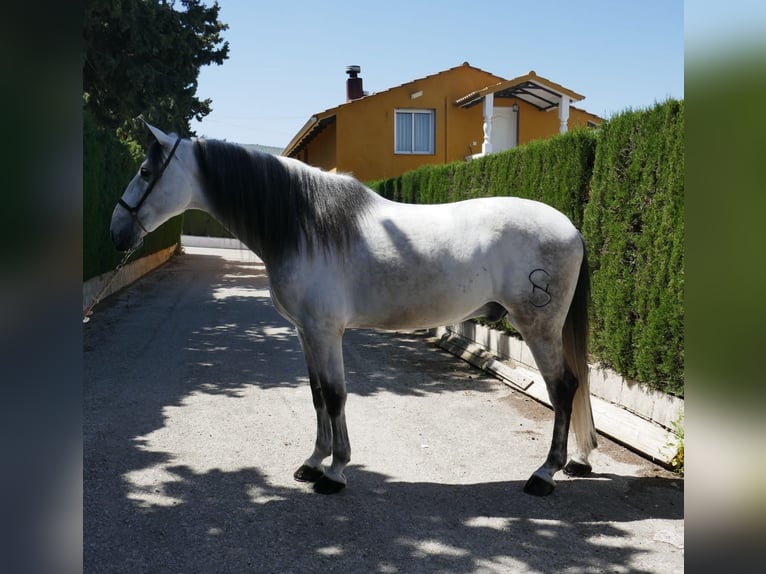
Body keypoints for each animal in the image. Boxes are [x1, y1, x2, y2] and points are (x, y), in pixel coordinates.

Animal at [111, 124, 600, 498]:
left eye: (145, 171)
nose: (116, 232)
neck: (306, 227)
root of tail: (571, 227)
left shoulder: (326, 332)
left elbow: (335, 395)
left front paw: (335, 472)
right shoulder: (306, 333)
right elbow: (315, 396)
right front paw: (313, 461)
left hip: (538, 327)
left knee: (563, 388)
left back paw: (544, 474)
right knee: (573, 389)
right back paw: (578, 460)